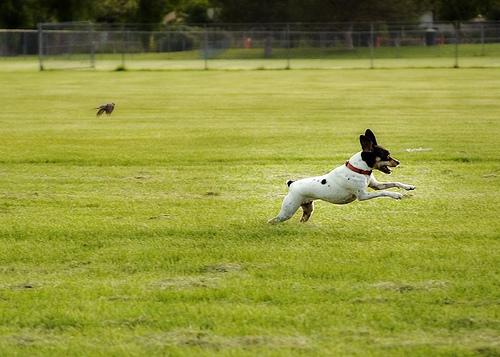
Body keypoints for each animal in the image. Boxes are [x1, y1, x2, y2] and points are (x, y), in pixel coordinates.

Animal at [268, 128, 416, 222]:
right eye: (387, 155)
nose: (398, 162)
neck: (359, 169)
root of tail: (291, 184)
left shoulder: (375, 185)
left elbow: (394, 183)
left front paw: (408, 187)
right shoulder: (363, 195)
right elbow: (383, 193)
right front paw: (396, 195)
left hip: (307, 208)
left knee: (303, 218)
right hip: (288, 210)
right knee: (274, 220)